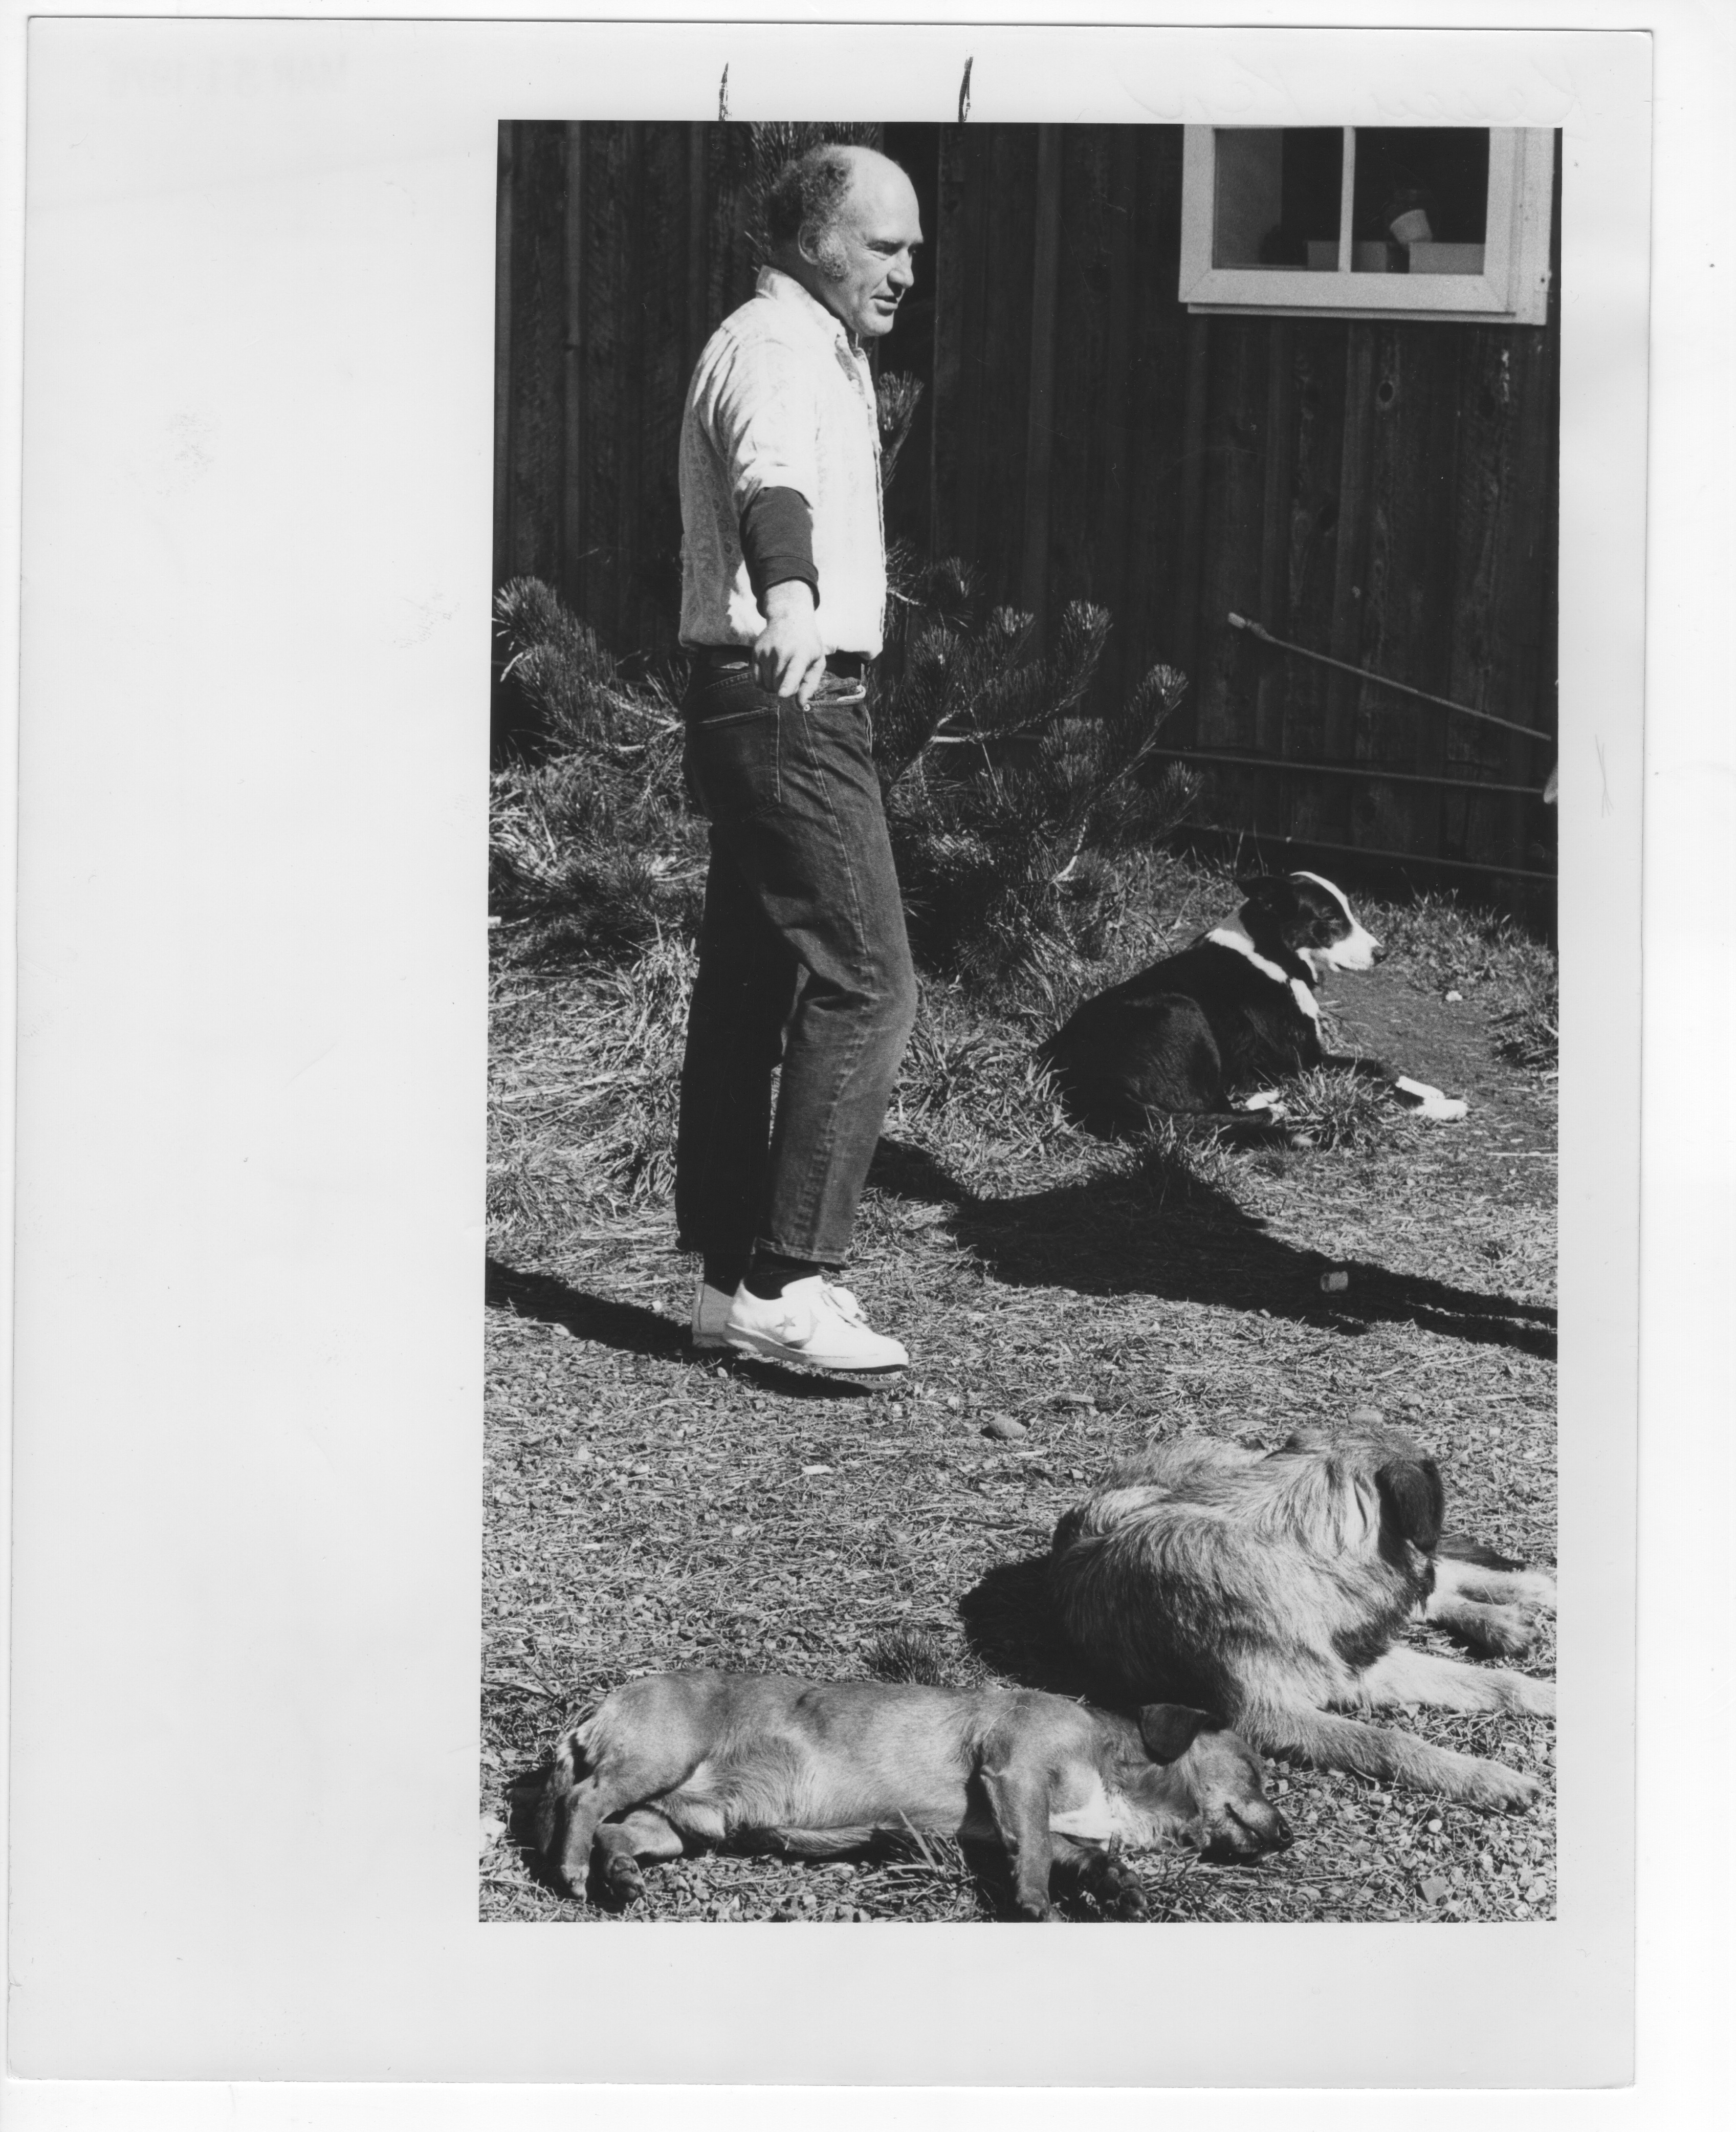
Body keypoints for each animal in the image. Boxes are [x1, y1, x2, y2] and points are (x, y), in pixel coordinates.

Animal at [530, 1670, 1291, 1920]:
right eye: (1255, 1770)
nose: (1288, 1835)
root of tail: (596, 1708)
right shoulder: (1015, 1771)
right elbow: (1036, 1857)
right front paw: (1039, 1907)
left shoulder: (1014, 1827)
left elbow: (1072, 1853)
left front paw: (1119, 1884)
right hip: (657, 1759)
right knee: (584, 1803)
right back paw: (570, 1868)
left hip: (681, 1824)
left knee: (616, 1830)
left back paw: (619, 1875)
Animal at [1040, 871, 1467, 1134]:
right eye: (1330, 917)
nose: (1383, 954)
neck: (1272, 954)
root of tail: (1081, 1074)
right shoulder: (1303, 1063)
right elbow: (1375, 1083)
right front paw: (1439, 1106)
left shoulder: (1313, 1058)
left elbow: (1379, 1066)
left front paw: (1429, 1090)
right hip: (1181, 1012)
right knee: (1202, 1110)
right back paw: (1271, 1107)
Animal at [1049, 1429, 1556, 1812]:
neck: (1291, 1551)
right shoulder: (1277, 1712)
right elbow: (1388, 1742)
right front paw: (1482, 1776)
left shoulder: (1350, 1658)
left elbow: (1491, 1682)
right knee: (1435, 1590)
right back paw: (1506, 1618)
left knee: (1444, 1580)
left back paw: (1528, 1593)